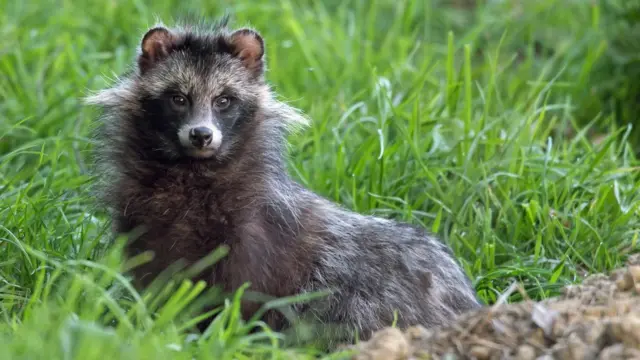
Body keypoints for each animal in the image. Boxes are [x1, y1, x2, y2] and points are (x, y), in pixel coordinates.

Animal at [87, 17, 482, 348]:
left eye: (224, 100)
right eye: (178, 98)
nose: (201, 135)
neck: (190, 171)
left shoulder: (255, 232)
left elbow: (243, 291)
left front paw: (221, 333)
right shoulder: (143, 222)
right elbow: (151, 277)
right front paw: (149, 322)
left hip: (371, 301)